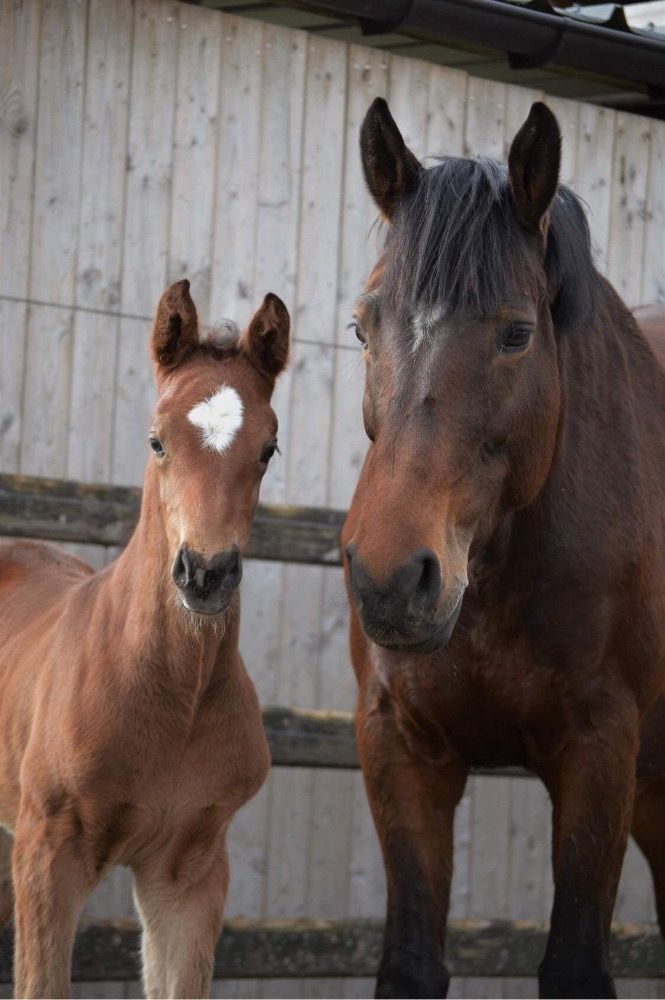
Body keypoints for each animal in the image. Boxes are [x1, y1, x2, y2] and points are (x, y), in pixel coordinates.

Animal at [0, 279, 289, 998]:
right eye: (156, 441)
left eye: (268, 449)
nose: (205, 573)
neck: (173, 699)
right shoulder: (48, 857)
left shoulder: (188, 871)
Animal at [342, 98, 665, 999]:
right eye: (361, 326)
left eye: (517, 334)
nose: (389, 578)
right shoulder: (402, 748)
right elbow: (411, 962)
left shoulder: (600, 751)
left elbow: (574, 964)